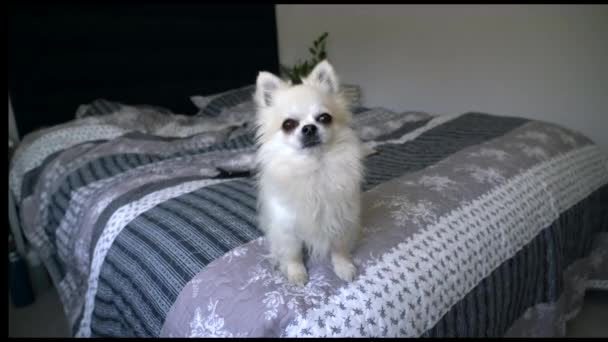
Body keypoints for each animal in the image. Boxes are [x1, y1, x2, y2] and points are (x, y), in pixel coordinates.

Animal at [254, 60, 364, 284]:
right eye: (288, 124)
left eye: (324, 118)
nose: (309, 128)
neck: (313, 167)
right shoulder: (287, 228)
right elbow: (293, 254)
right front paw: (296, 273)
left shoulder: (341, 220)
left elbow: (339, 249)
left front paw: (343, 267)